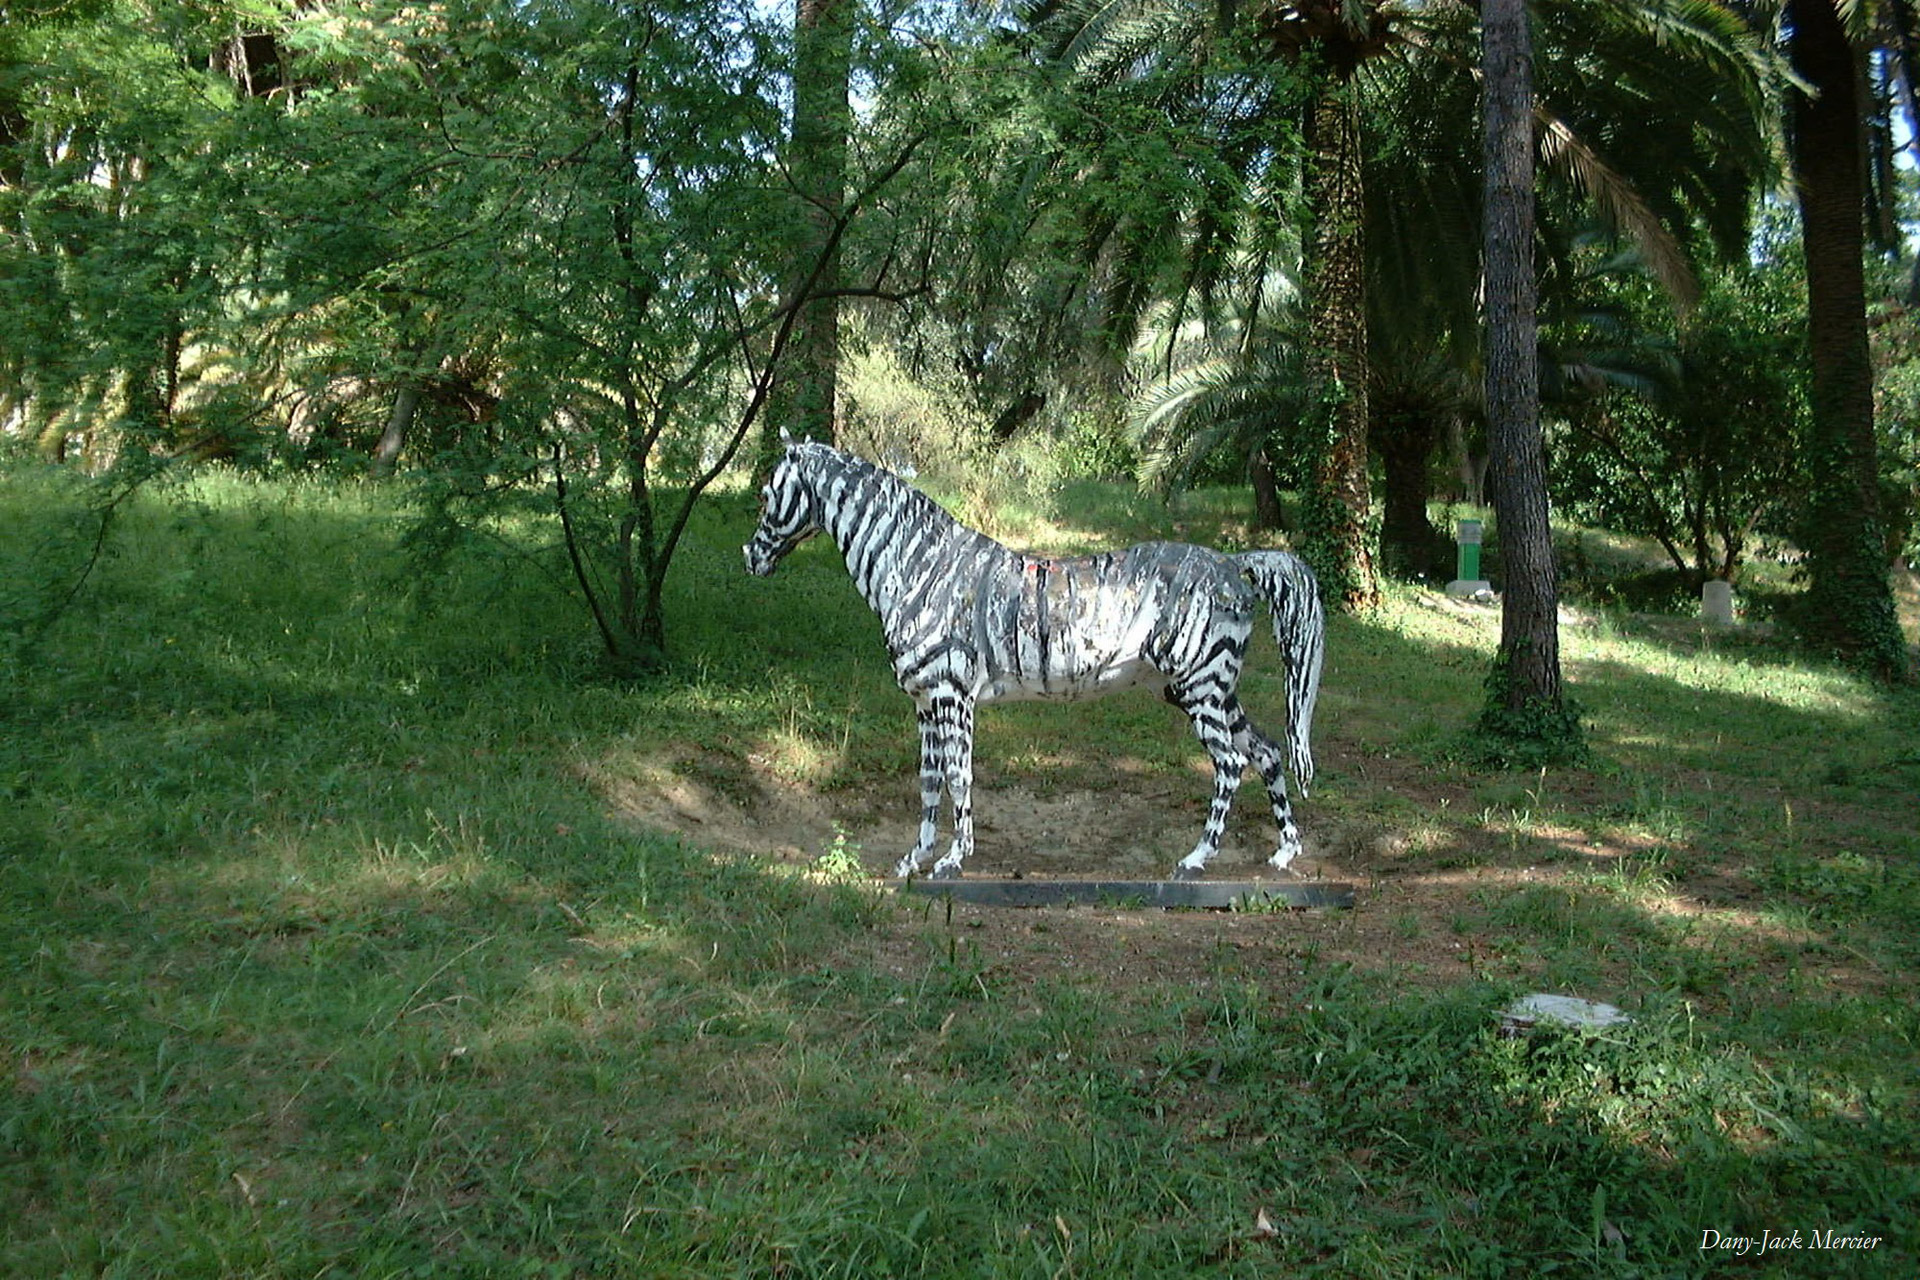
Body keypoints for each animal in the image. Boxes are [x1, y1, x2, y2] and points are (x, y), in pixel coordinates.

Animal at [743, 432, 1325, 882]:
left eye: (768, 494)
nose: (750, 559)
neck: (922, 570)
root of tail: (1231, 563)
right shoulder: (924, 701)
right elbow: (929, 782)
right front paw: (915, 859)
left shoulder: (952, 697)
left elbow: (958, 776)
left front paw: (953, 861)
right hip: (1210, 689)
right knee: (1268, 752)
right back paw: (1284, 852)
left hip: (1201, 688)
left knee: (1230, 764)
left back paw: (1197, 859)